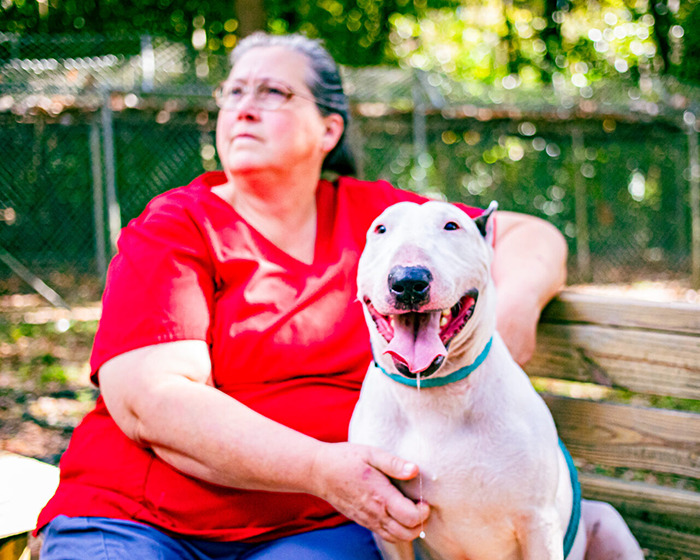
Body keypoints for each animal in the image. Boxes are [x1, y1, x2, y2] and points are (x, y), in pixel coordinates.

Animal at [348, 202, 644, 560]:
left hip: (608, 520)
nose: (407, 280)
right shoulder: (390, 529)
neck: (432, 396)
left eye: (452, 225)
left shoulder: (539, 523)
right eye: (380, 229)